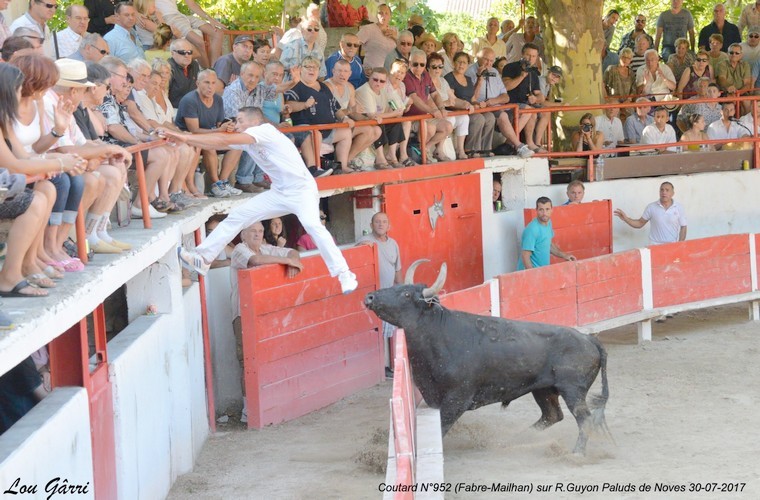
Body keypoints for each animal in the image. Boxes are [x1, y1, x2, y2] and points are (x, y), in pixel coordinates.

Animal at [364, 262, 612, 454]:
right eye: (397, 287)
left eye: (407, 294)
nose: (370, 297)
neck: (439, 333)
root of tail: (589, 340)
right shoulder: (432, 395)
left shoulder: (457, 398)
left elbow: (443, 426)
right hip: (544, 389)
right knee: (552, 415)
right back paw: (515, 440)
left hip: (573, 391)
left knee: (584, 419)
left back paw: (577, 452)